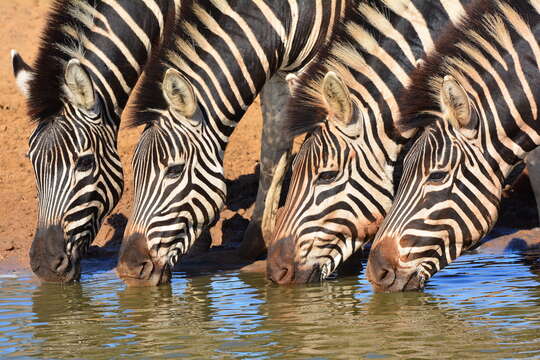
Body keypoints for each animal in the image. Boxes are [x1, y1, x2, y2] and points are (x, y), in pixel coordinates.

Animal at [116, 0, 352, 286]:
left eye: (174, 170)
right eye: (134, 171)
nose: (129, 270)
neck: (282, 15)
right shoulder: (279, 75)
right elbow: (273, 149)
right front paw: (258, 239)